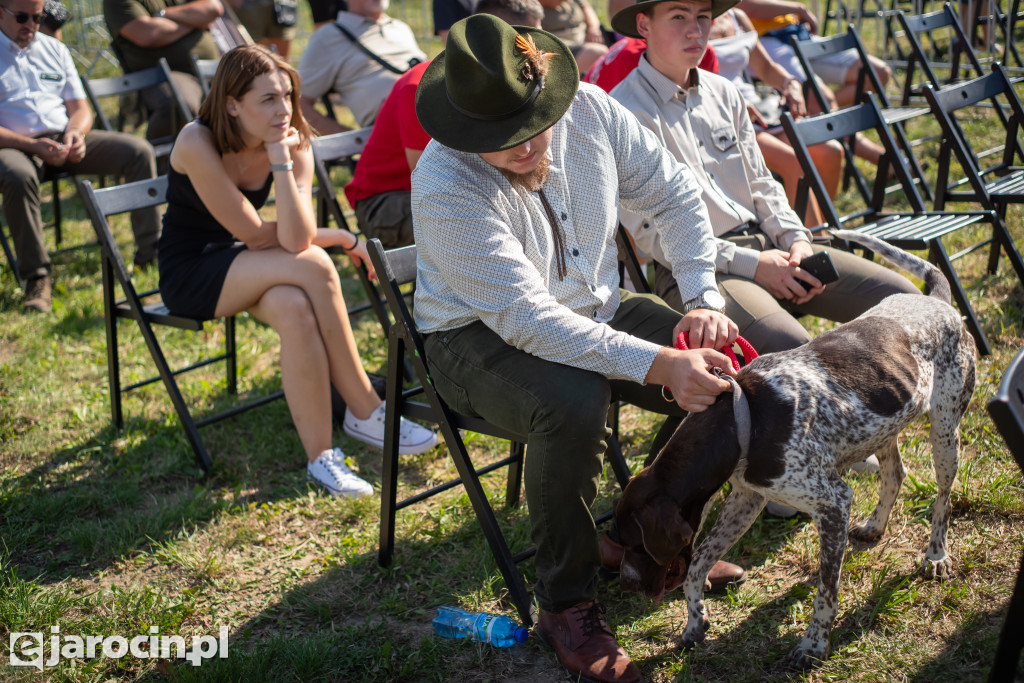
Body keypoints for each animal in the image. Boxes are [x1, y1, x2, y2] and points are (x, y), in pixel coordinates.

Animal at [610, 232, 978, 671]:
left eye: (635, 543)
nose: (625, 586)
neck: (743, 418)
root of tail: (938, 301)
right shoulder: (747, 498)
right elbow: (697, 564)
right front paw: (695, 623)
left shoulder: (833, 501)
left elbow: (825, 592)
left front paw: (814, 645)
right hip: (885, 423)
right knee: (895, 474)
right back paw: (875, 526)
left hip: (945, 430)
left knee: (942, 499)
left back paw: (936, 555)